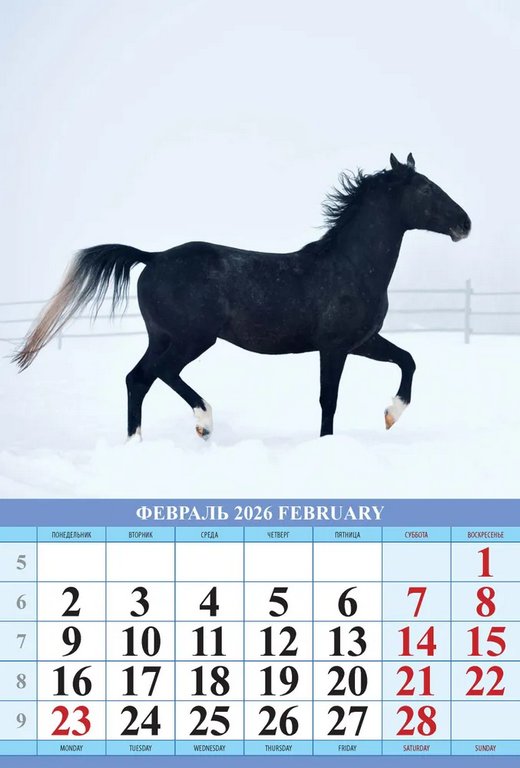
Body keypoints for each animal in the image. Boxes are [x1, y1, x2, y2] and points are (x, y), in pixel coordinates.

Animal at [14, 153, 471, 439]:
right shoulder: (335, 347)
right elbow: (329, 400)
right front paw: (328, 443)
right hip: (193, 339)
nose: (465, 223)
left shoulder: (363, 342)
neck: (350, 265)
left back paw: (136, 445)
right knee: (161, 374)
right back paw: (204, 423)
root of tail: (154, 257)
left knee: (137, 379)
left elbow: (408, 360)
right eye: (426, 189)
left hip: (161, 337)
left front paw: (391, 415)